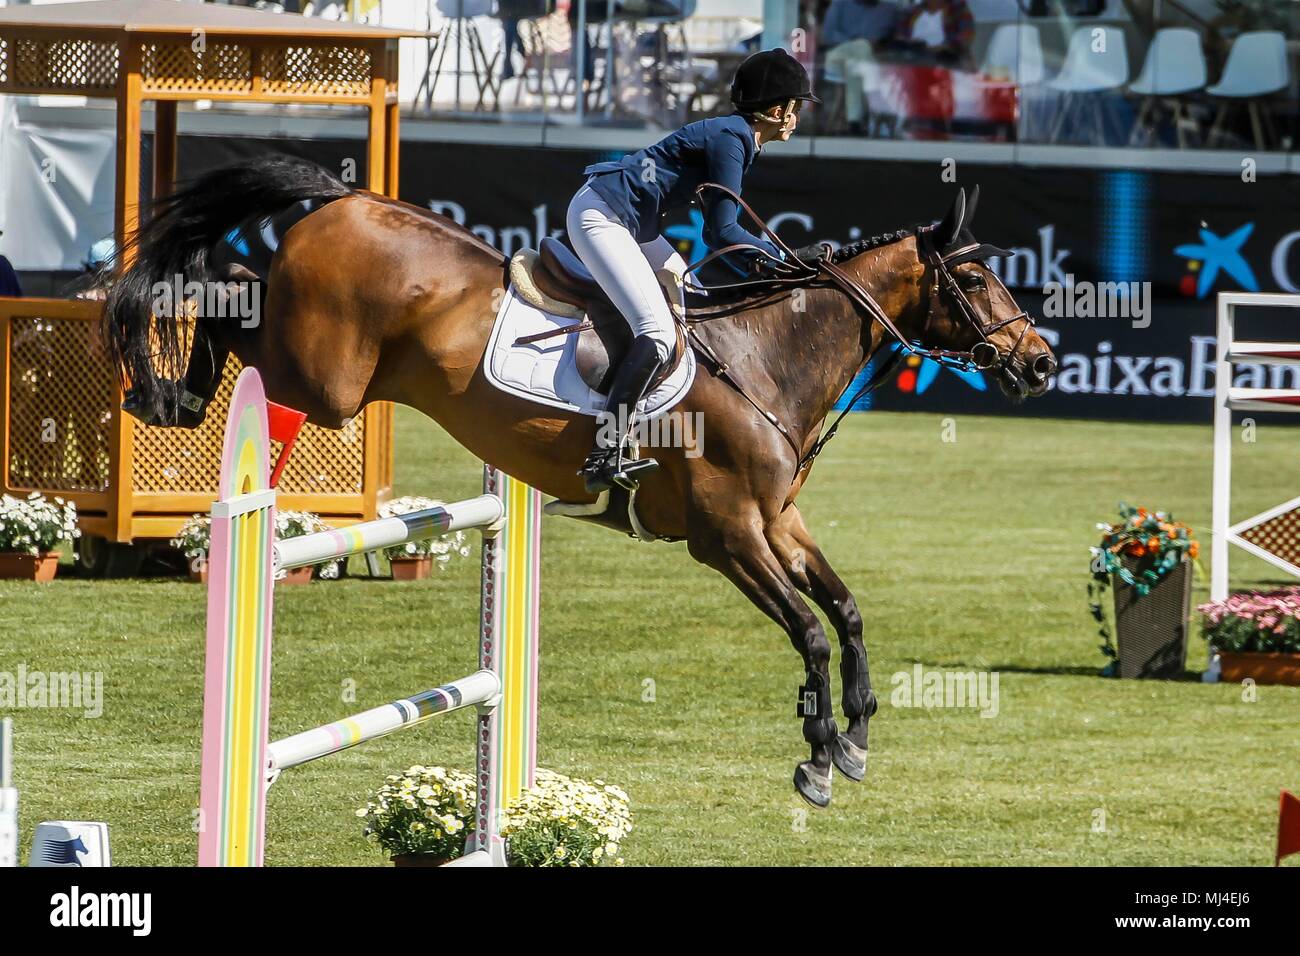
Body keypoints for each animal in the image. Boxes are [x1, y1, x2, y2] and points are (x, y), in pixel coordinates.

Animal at [98, 157, 1055, 806]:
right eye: (975, 277)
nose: (1040, 363)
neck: (766, 358)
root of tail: (347, 199)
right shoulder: (726, 538)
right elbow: (811, 634)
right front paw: (818, 759)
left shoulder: (778, 521)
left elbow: (847, 613)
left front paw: (855, 739)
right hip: (319, 378)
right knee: (225, 293)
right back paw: (165, 389)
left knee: (231, 284)